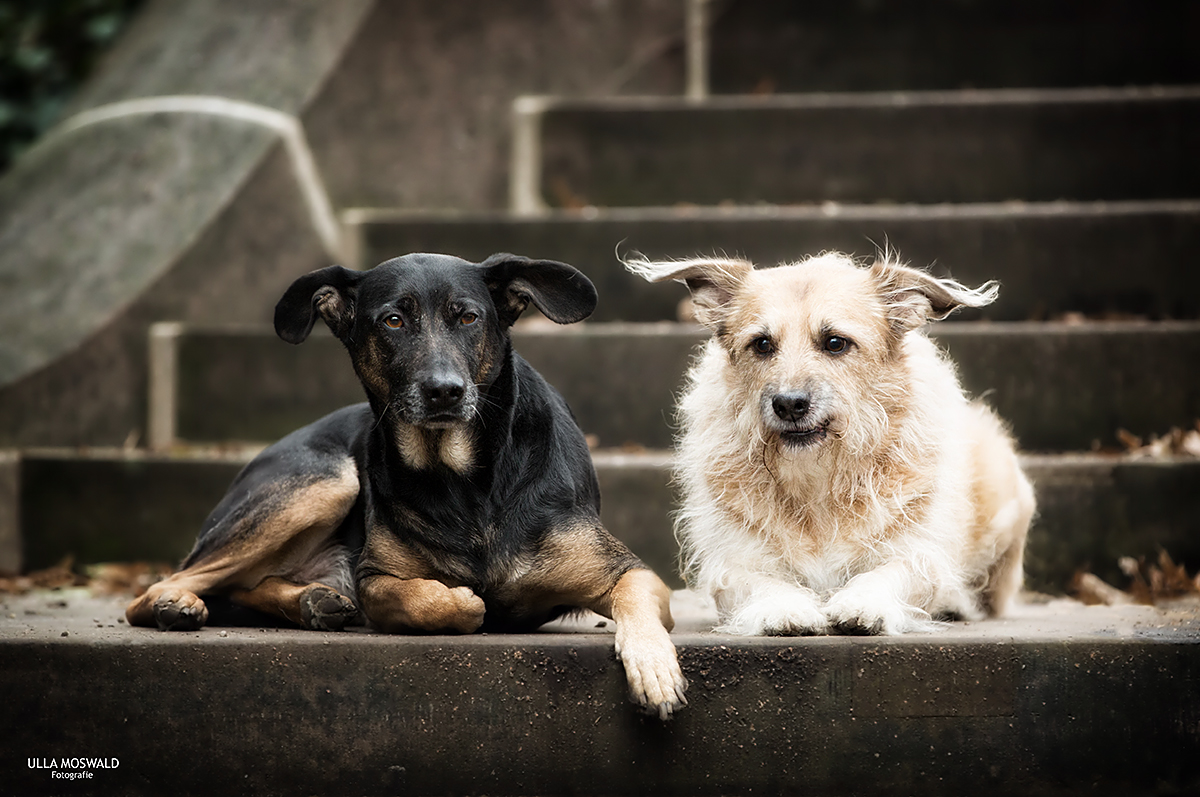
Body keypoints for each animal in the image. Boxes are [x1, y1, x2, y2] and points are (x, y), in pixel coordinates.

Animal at [126, 252, 691, 720]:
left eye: (468, 317)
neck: (461, 477)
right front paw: (466, 601)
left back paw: (312, 601)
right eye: (393, 321)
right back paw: (179, 605)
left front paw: (654, 670)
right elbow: (443, 601)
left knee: (244, 585)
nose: (444, 391)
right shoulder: (376, 580)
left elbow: (638, 607)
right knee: (158, 589)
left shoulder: (632, 574)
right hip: (328, 481)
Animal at [628, 252, 1032, 638]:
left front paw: (865, 602)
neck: (817, 478)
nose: (789, 404)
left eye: (835, 342)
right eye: (762, 344)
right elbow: (759, 582)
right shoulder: (735, 560)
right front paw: (784, 607)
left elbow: (891, 573)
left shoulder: (917, 551)